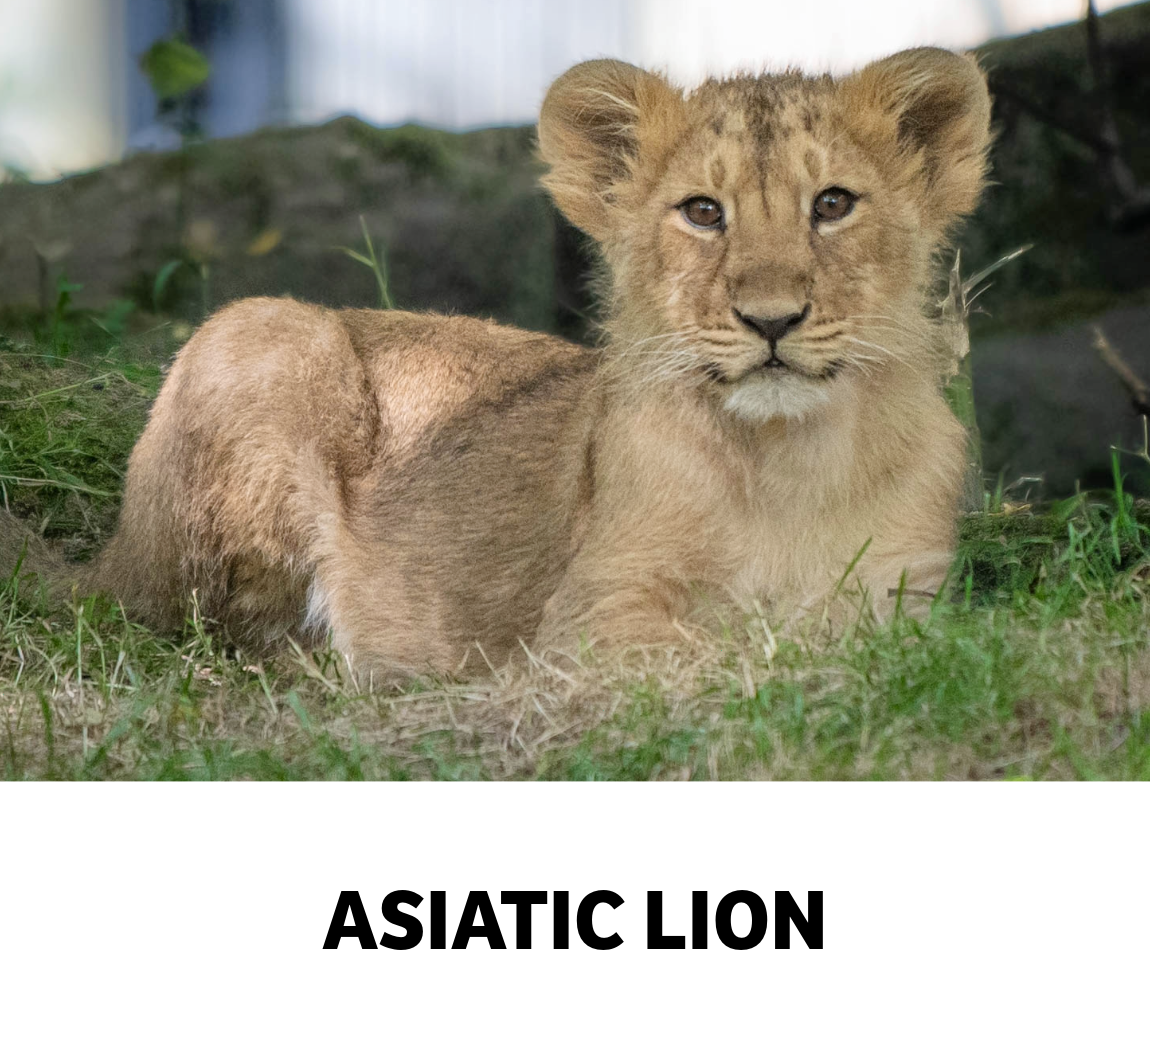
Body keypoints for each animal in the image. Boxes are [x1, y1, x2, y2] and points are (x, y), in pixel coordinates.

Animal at [6, 48, 991, 676]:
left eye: (833, 204)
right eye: (703, 212)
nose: (772, 318)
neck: (790, 462)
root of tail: (108, 559)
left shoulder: (910, 602)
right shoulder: (588, 622)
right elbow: (735, 651)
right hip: (264, 331)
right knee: (208, 634)